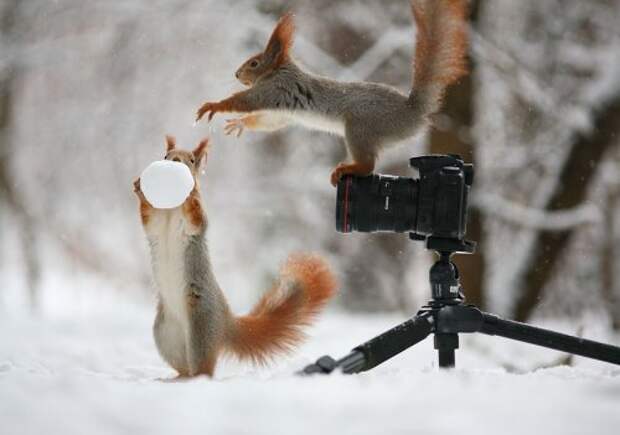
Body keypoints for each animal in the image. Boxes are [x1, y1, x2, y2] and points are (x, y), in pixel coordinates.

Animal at [133, 136, 336, 378]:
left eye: (191, 160)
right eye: (166, 155)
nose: (174, 161)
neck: (172, 209)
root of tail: (225, 323)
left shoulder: (194, 227)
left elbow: (196, 219)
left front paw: (191, 196)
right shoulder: (155, 224)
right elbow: (148, 219)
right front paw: (140, 188)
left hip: (201, 330)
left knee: (203, 370)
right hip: (166, 336)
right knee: (184, 367)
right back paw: (177, 379)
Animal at [196, 0, 468, 186]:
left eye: (254, 63)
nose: (236, 74)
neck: (279, 71)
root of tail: (414, 111)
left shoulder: (275, 89)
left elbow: (247, 100)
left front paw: (214, 106)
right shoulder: (282, 111)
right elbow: (269, 121)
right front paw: (241, 123)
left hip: (361, 128)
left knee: (368, 165)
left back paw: (348, 169)